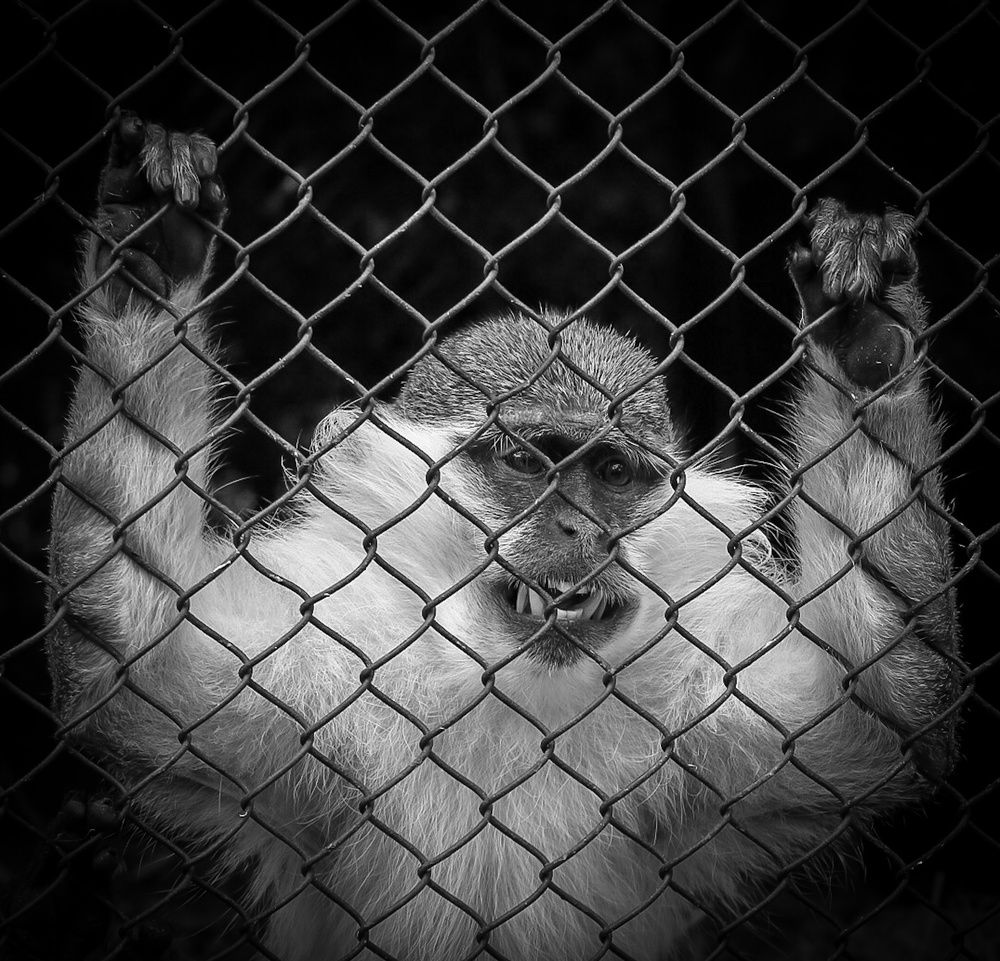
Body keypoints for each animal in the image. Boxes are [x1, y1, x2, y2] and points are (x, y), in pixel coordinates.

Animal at [47, 113, 959, 961]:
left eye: (613, 474)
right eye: (525, 459)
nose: (578, 526)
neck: (511, 698)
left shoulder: (713, 706)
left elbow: (885, 714)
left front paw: (868, 337)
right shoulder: (314, 669)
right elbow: (134, 658)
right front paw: (145, 257)